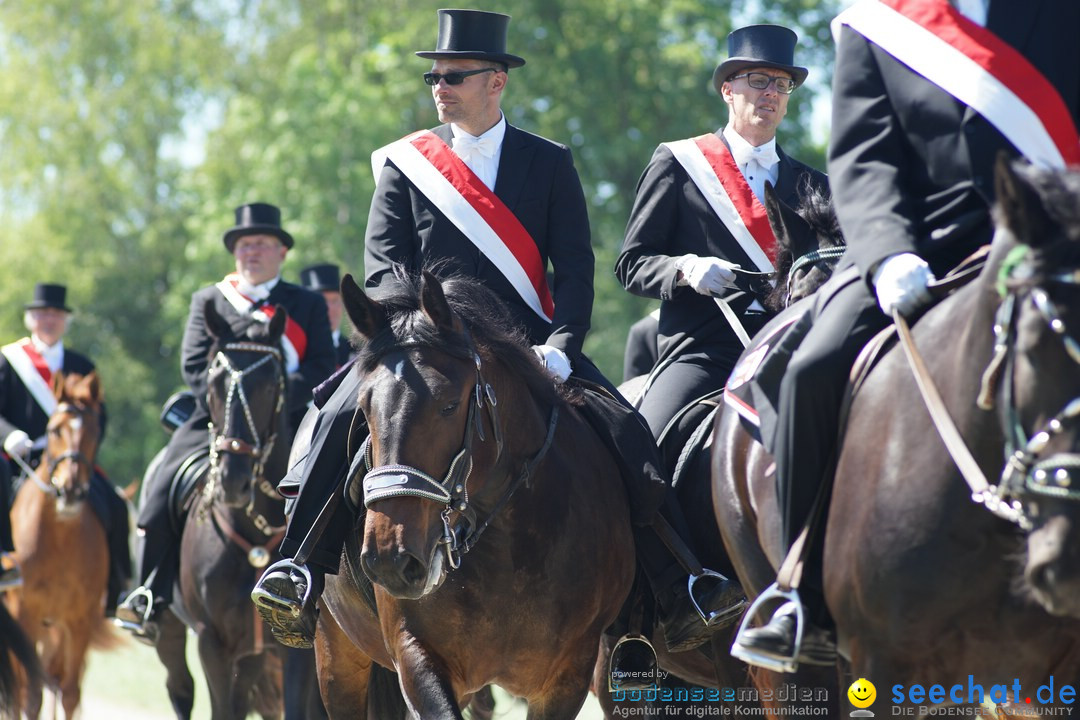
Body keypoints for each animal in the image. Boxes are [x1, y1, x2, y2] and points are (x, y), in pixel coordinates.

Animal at [5, 375, 115, 716]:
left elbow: (68, 693)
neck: (60, 544)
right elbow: (29, 693)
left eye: (95, 432)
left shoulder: (78, 621)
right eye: (54, 430)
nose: (72, 491)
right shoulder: (23, 615)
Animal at [313, 272, 630, 720]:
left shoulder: (568, 675)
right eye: (364, 406)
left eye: (449, 405)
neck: (511, 546)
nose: (390, 558)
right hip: (336, 653)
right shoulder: (417, 657)